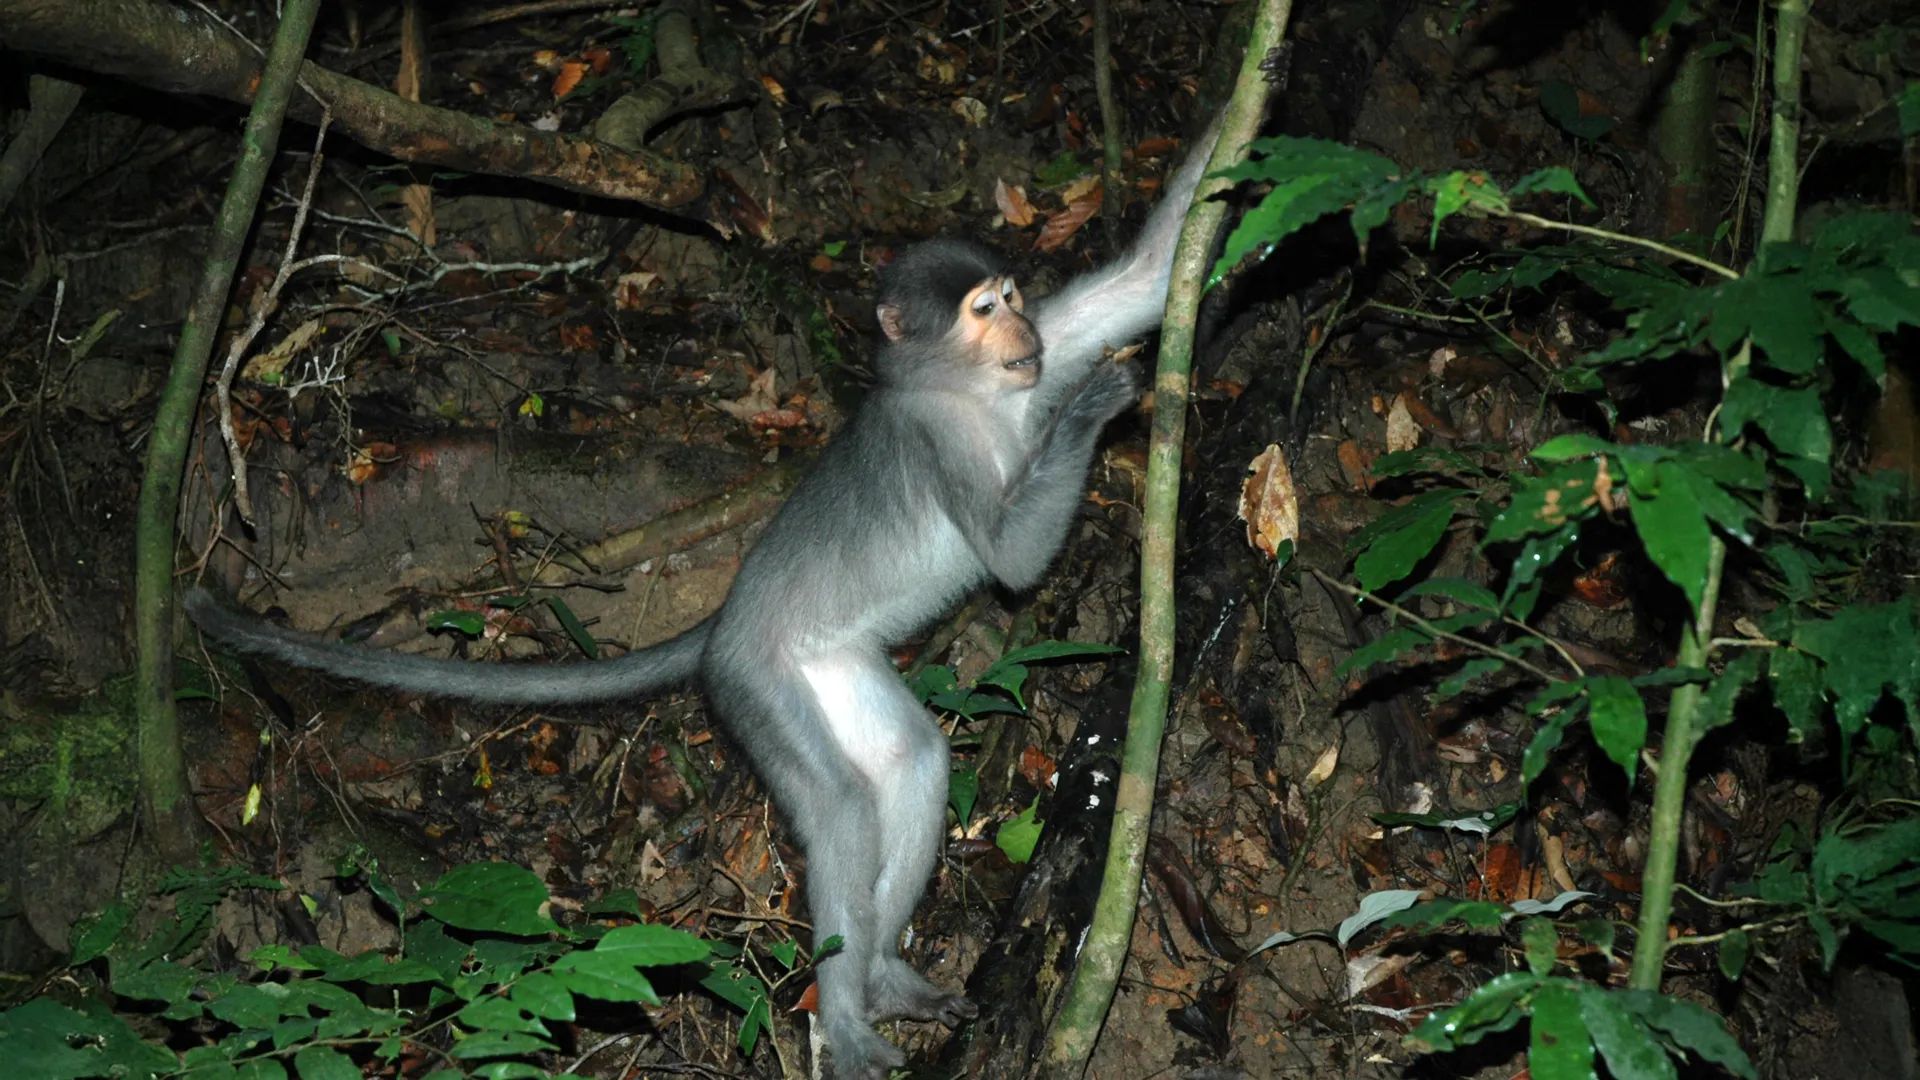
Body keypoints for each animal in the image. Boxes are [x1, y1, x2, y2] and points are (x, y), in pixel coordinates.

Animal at [187, 120, 1219, 1080]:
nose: (1025, 335)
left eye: (1012, 300)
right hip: (757, 681)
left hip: (830, 664)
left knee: (911, 760)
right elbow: (1009, 559)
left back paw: (882, 975)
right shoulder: (942, 444)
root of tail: (723, 623)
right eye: (982, 310)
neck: (969, 394)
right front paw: (1095, 403)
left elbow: (1143, 279)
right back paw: (848, 1013)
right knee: (842, 803)